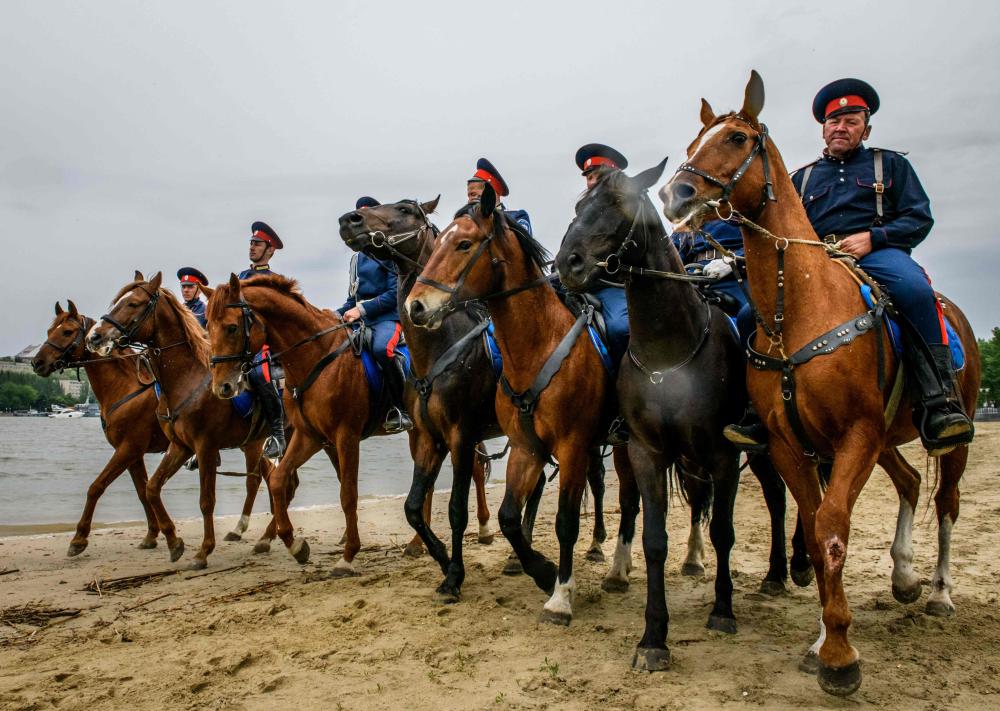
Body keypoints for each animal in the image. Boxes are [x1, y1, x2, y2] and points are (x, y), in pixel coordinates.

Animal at [84, 276, 274, 572]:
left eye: (133, 303)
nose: (94, 336)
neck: (187, 379)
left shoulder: (204, 447)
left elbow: (206, 500)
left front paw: (203, 551)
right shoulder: (179, 446)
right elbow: (151, 489)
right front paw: (173, 541)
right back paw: (265, 536)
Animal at [404, 186, 632, 624]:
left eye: (463, 244)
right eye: (435, 243)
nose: (416, 306)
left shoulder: (567, 447)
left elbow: (563, 522)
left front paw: (559, 595)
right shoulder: (520, 447)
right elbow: (506, 516)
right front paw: (541, 571)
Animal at [556, 159, 812, 672]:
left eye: (617, 204)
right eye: (580, 204)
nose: (567, 263)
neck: (668, 352)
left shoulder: (721, 455)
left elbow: (723, 532)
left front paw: (723, 610)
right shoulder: (647, 452)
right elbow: (655, 540)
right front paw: (654, 637)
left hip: (764, 448)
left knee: (779, 498)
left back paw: (786, 569)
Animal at [660, 71, 980, 696]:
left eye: (737, 138)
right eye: (690, 145)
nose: (676, 196)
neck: (800, 308)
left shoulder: (854, 434)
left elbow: (832, 525)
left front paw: (839, 655)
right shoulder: (792, 442)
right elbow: (812, 526)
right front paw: (823, 637)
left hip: (947, 432)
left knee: (946, 500)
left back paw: (937, 591)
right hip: (884, 439)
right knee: (909, 482)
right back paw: (904, 576)